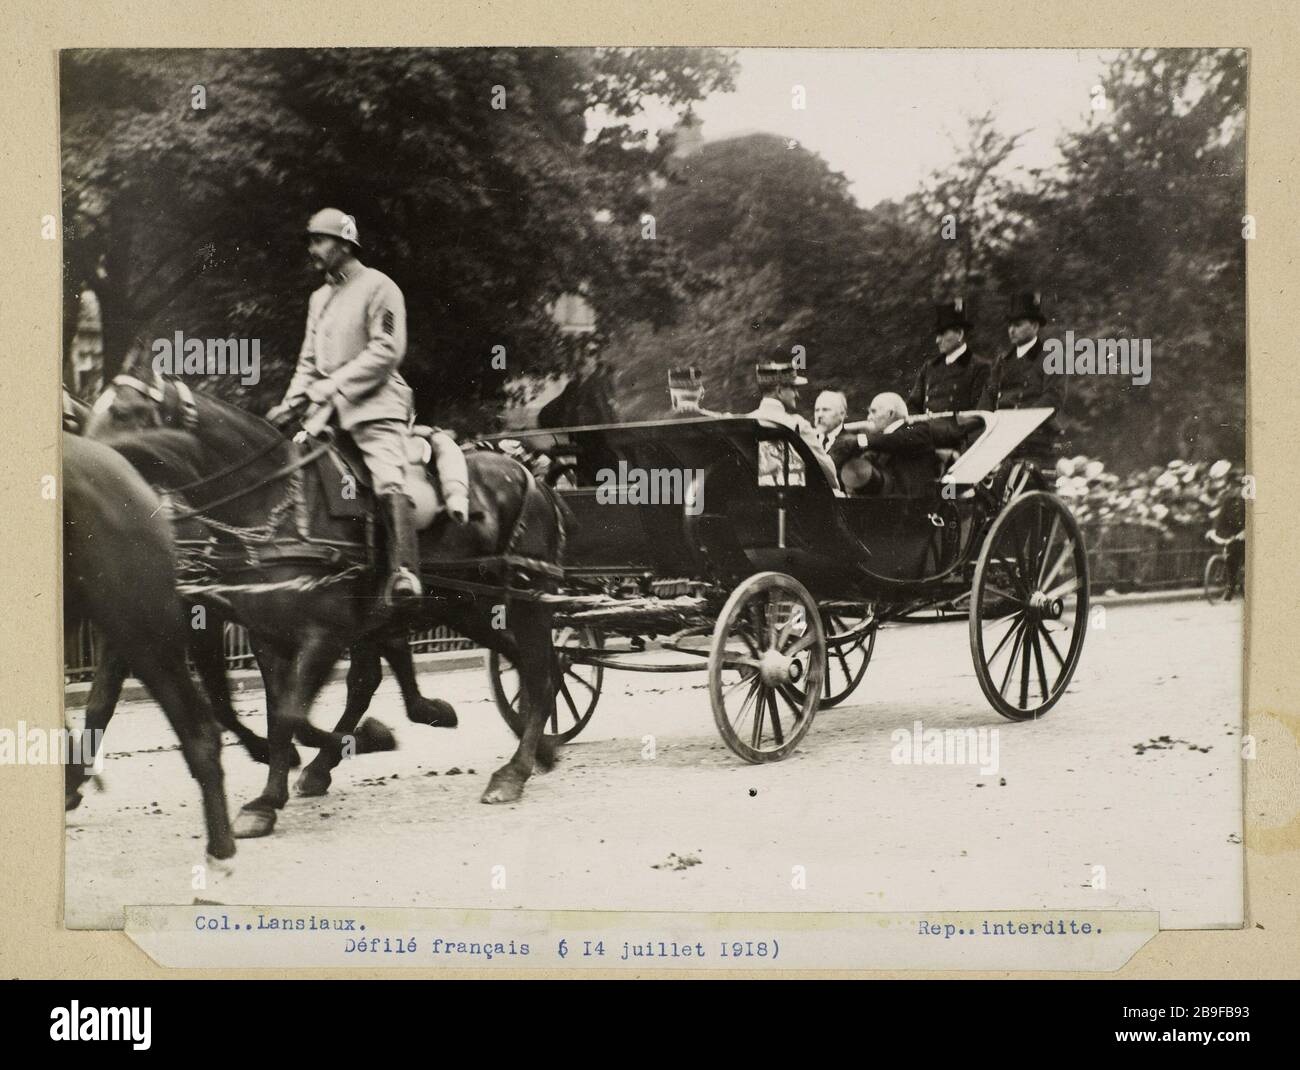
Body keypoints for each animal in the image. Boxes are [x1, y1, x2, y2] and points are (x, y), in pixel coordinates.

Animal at [86, 369, 564, 837]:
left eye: (124, 412)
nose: (87, 468)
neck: (273, 504)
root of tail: (528, 475)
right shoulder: (266, 636)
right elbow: (279, 713)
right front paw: (271, 796)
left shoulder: (324, 634)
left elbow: (291, 716)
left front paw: (366, 740)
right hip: (467, 606)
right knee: (523, 664)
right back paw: (533, 748)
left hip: (523, 601)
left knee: (540, 671)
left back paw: (513, 771)